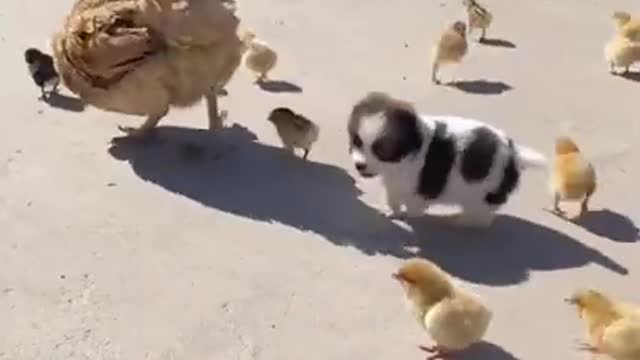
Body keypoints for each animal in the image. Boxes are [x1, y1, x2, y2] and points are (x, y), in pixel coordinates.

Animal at [348, 93, 548, 228]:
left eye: (382, 151)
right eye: (357, 142)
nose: (359, 165)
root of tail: (514, 154)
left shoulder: (419, 190)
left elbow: (414, 206)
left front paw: (407, 216)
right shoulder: (394, 184)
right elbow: (393, 198)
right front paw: (392, 211)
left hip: (485, 195)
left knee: (481, 215)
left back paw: (461, 221)